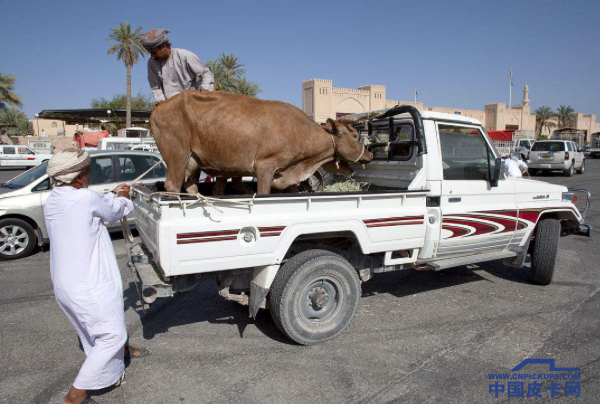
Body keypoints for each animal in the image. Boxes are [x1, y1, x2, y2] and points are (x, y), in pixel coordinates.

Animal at [151, 90, 370, 195]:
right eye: (354, 135)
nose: (370, 154)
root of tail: (161, 105)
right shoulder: (265, 166)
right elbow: (264, 192)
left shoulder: (286, 175)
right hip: (177, 155)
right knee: (172, 185)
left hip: (192, 162)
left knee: (191, 186)